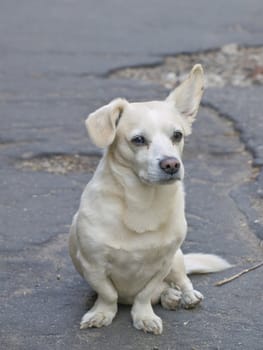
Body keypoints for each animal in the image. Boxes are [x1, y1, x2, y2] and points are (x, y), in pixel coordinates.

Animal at [68, 64, 231, 334]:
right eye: (138, 140)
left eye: (177, 135)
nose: (171, 164)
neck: (143, 202)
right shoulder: (94, 266)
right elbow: (109, 294)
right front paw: (102, 313)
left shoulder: (162, 264)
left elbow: (144, 295)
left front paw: (143, 316)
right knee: (161, 290)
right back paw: (170, 297)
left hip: (177, 260)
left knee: (181, 279)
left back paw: (185, 296)